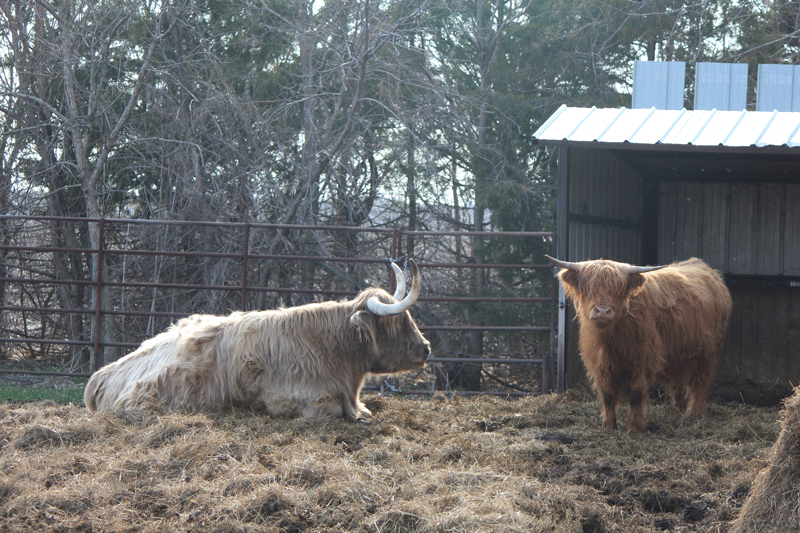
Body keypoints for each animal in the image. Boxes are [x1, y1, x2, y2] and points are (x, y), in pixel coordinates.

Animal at [546, 255, 732, 433]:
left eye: (619, 288)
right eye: (588, 286)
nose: (603, 311)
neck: (611, 341)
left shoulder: (642, 361)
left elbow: (636, 394)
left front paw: (634, 428)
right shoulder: (600, 364)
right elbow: (607, 395)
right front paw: (608, 426)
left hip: (708, 354)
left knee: (700, 385)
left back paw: (694, 416)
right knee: (678, 383)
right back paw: (679, 409)